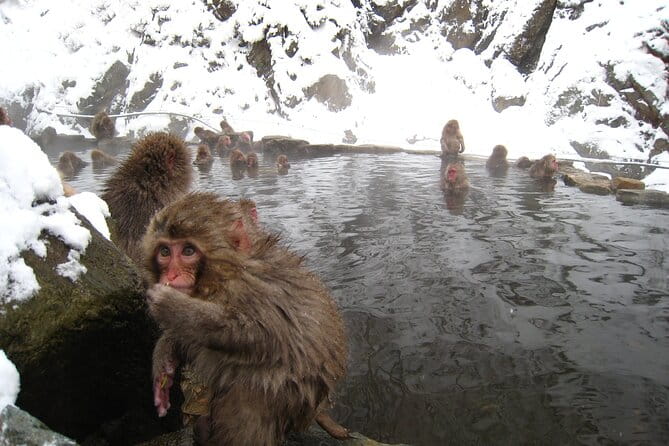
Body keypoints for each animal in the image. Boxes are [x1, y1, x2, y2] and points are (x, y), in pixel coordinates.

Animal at [142, 192, 349, 446]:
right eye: (164, 252)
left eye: (188, 251)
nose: (170, 276)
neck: (226, 273)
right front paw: (164, 360)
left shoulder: (260, 290)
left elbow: (262, 336)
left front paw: (173, 307)